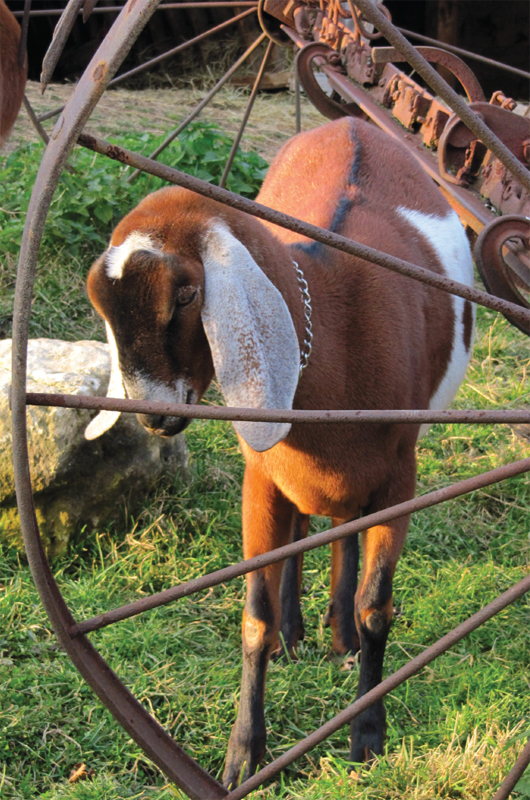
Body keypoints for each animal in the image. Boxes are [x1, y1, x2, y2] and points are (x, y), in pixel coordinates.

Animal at [84, 117, 472, 788]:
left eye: (185, 295)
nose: (153, 414)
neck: (337, 327)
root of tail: (350, 122)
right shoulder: (261, 477)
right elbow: (254, 616)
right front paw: (244, 753)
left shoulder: (400, 478)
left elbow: (377, 606)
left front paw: (368, 734)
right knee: (306, 531)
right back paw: (298, 630)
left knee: (342, 533)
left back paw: (338, 632)